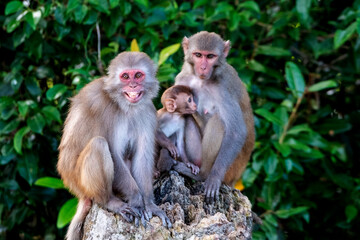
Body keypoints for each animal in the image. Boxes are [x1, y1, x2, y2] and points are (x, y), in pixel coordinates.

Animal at [57, 51, 172, 239]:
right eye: (125, 76)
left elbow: (142, 157)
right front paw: (136, 200)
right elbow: (114, 154)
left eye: (138, 75)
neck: (124, 105)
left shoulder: (147, 110)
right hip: (80, 181)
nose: (133, 85)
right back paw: (109, 202)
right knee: (99, 144)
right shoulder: (104, 109)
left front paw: (148, 204)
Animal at [173, 30, 255, 202]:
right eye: (198, 55)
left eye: (210, 56)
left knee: (219, 122)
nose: (203, 67)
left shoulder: (224, 88)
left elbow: (236, 132)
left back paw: (203, 175)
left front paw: (214, 177)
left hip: (232, 169)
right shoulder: (182, 79)